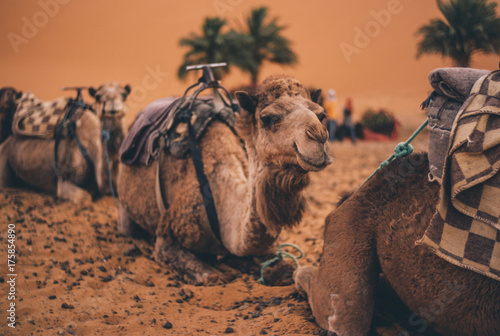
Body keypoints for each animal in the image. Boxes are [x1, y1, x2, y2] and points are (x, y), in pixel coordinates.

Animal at [118, 75, 332, 284]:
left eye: (321, 115)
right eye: (267, 118)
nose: (319, 136)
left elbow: (285, 271)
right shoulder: (167, 238)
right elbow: (211, 277)